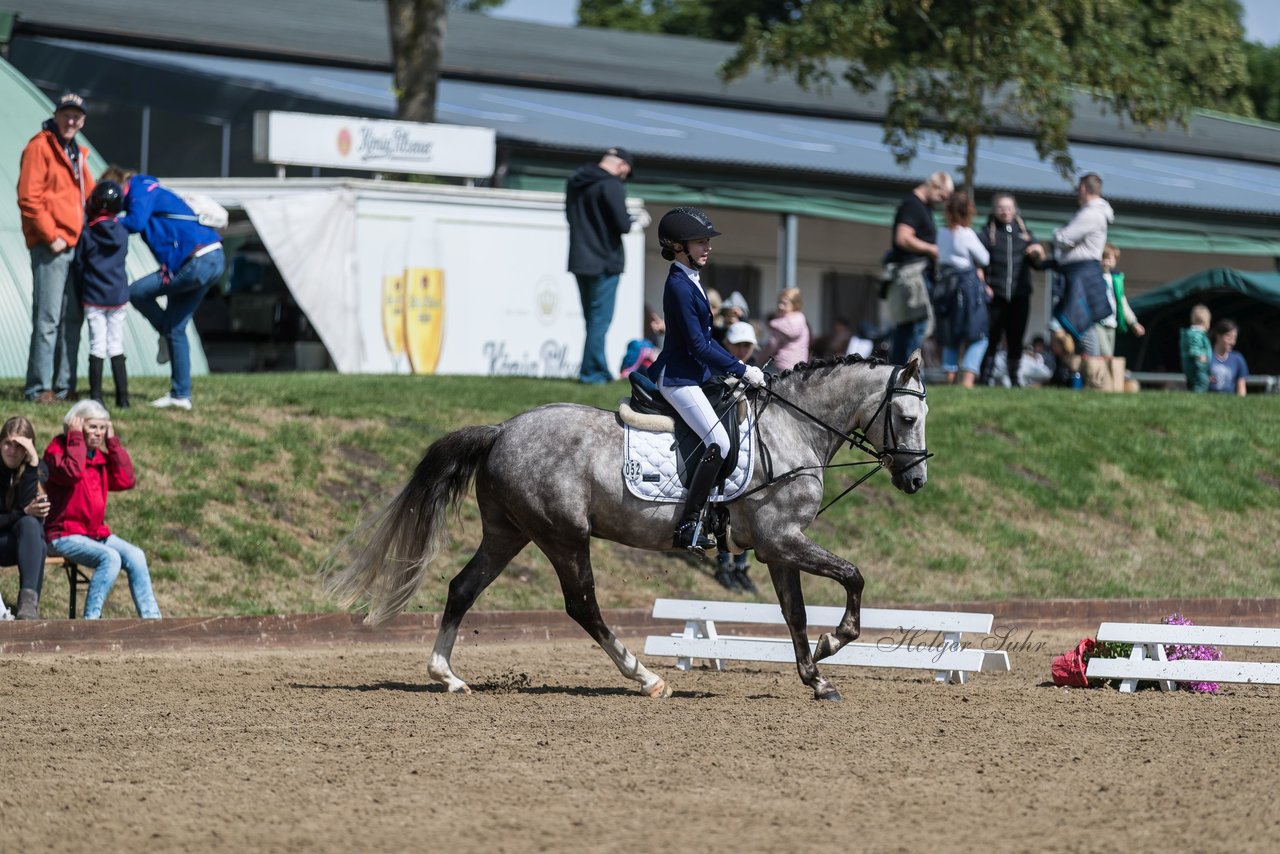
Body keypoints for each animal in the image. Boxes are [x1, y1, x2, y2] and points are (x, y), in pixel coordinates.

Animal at [322, 350, 931, 696]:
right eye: (906, 417)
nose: (917, 481)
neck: (791, 429)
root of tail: (501, 430)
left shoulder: (777, 546)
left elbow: (795, 613)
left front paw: (816, 676)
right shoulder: (783, 539)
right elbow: (851, 577)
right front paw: (835, 643)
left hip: (509, 533)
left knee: (463, 587)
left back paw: (447, 676)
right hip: (563, 535)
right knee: (582, 605)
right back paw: (646, 677)